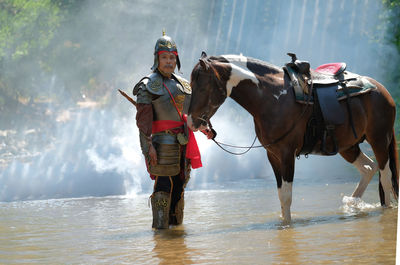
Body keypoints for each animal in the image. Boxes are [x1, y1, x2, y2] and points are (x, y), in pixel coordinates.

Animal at [187, 52, 396, 223]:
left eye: (203, 88)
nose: (191, 122)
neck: (272, 97)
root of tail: (382, 90)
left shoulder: (287, 153)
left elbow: (286, 196)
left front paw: (287, 225)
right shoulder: (272, 155)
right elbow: (281, 195)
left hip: (379, 140)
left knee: (386, 178)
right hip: (348, 147)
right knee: (368, 168)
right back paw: (352, 203)